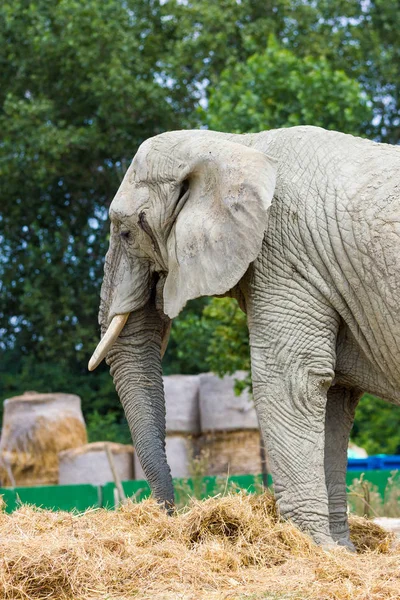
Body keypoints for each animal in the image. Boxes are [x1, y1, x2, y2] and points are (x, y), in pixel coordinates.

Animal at [89, 126, 400, 548]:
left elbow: (291, 381)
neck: (236, 145)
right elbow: (334, 394)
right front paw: (340, 553)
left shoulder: (285, 252)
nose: (170, 517)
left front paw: (311, 549)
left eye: (126, 233)